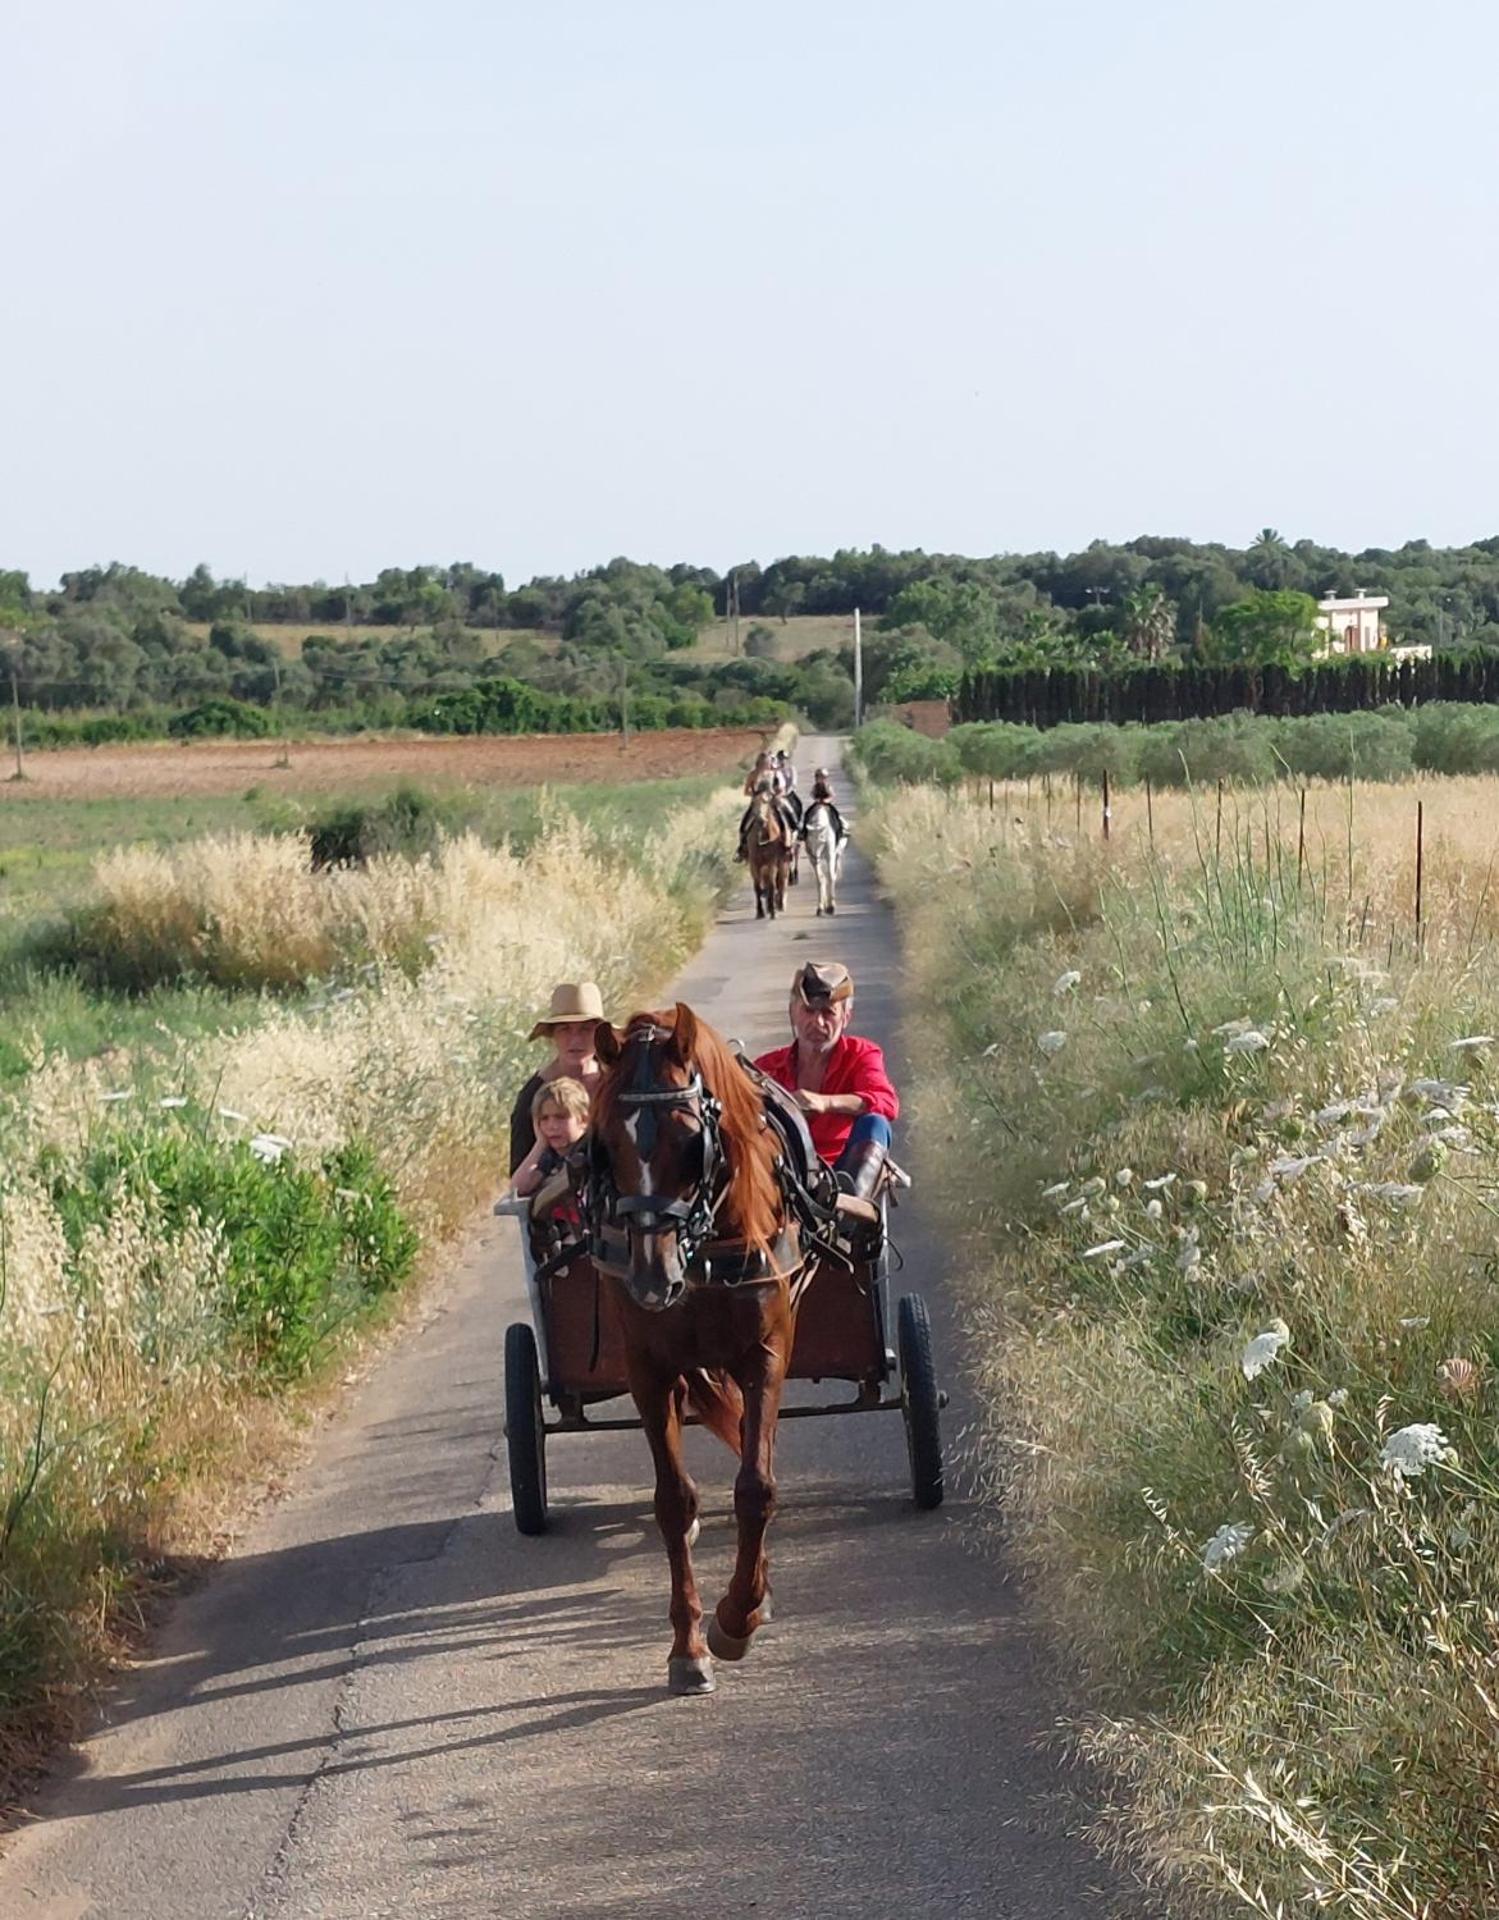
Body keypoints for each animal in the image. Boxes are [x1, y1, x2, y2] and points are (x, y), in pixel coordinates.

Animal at [586, 1005, 805, 1695]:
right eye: (605, 1144)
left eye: (690, 1142)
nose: (651, 1278)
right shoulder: (649, 1370)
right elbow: (674, 1502)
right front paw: (688, 1646)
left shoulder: (766, 1353)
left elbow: (756, 1487)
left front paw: (738, 1616)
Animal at [744, 786, 791, 919]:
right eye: (753, 803)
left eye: (766, 802)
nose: (761, 820)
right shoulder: (754, 864)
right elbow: (757, 887)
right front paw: (760, 912)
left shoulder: (772, 863)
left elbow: (772, 885)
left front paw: (773, 911)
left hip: (783, 862)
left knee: (781, 881)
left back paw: (779, 904)